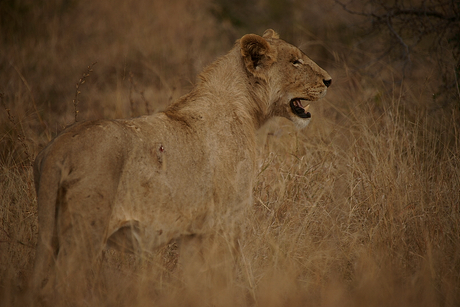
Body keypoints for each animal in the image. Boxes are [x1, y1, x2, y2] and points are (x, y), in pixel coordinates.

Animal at [30, 29, 330, 306]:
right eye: (295, 61)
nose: (329, 80)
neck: (245, 107)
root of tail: (59, 146)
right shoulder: (225, 220)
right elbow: (227, 275)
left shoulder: (193, 232)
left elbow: (194, 279)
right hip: (86, 233)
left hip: (53, 231)